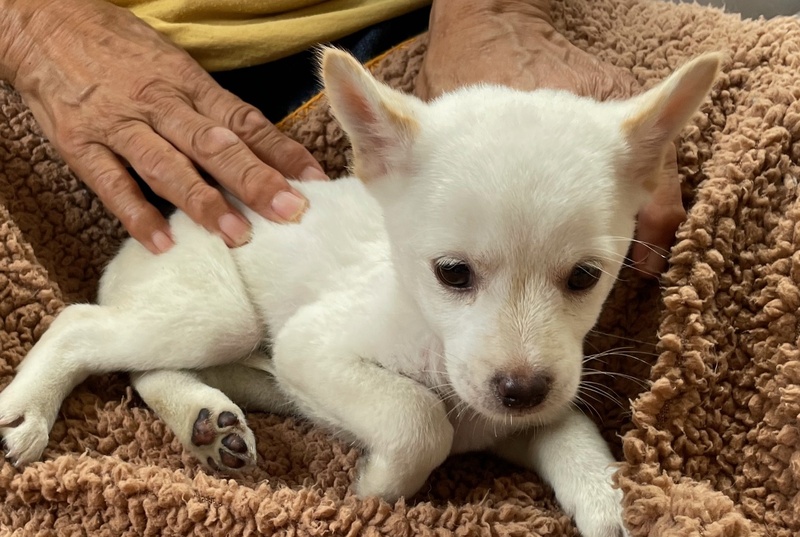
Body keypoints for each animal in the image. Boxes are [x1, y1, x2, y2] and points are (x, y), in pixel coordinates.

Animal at [0, 48, 719, 537]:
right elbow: (417, 418)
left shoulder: (522, 413)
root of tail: (154, 229)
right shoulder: (314, 347)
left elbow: (572, 433)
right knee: (81, 324)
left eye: (585, 277)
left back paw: (207, 422)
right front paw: (380, 483)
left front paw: (610, 501)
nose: (521, 390)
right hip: (218, 312)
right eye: (452, 272)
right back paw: (28, 412)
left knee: (150, 367)